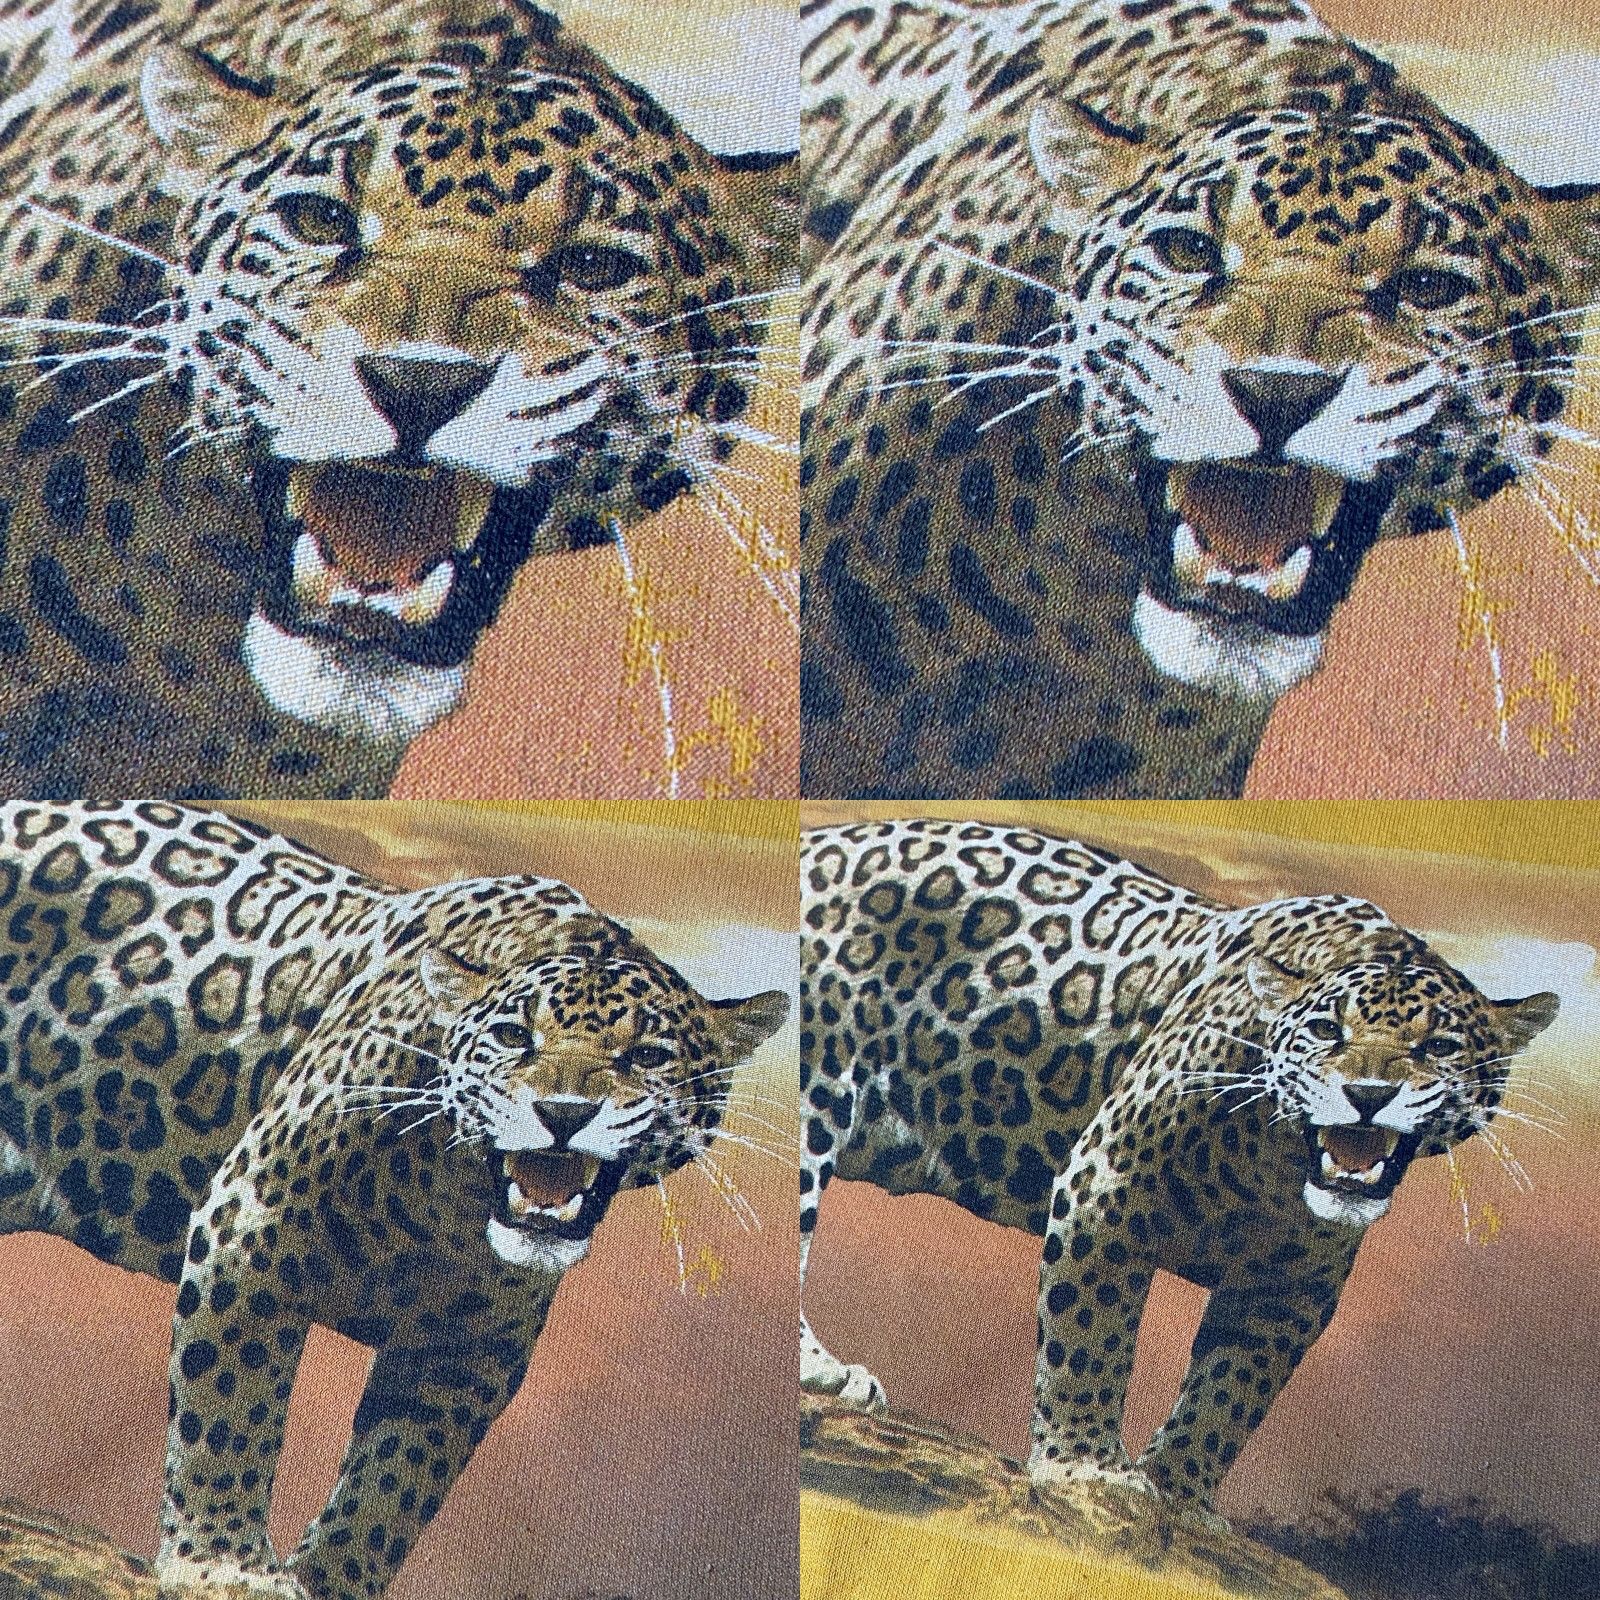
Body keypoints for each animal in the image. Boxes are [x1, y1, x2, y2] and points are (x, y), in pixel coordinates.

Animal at [0, 799, 790, 1598]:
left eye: (648, 1056)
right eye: (514, 1036)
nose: (563, 1111)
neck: (447, 1200)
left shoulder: (468, 1347)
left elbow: (396, 1483)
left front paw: (331, 1579)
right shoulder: (249, 1219)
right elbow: (229, 1410)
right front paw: (220, 1563)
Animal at [799, 817, 1556, 1507]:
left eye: (1439, 1048)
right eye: (1325, 1031)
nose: (1369, 1094)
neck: (1272, 1166)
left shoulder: (1290, 1283)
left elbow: (1232, 1392)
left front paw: (1180, 1491)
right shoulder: (1105, 1183)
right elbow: (1090, 1338)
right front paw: (1084, 1466)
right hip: (816, 1107)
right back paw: (823, 1373)